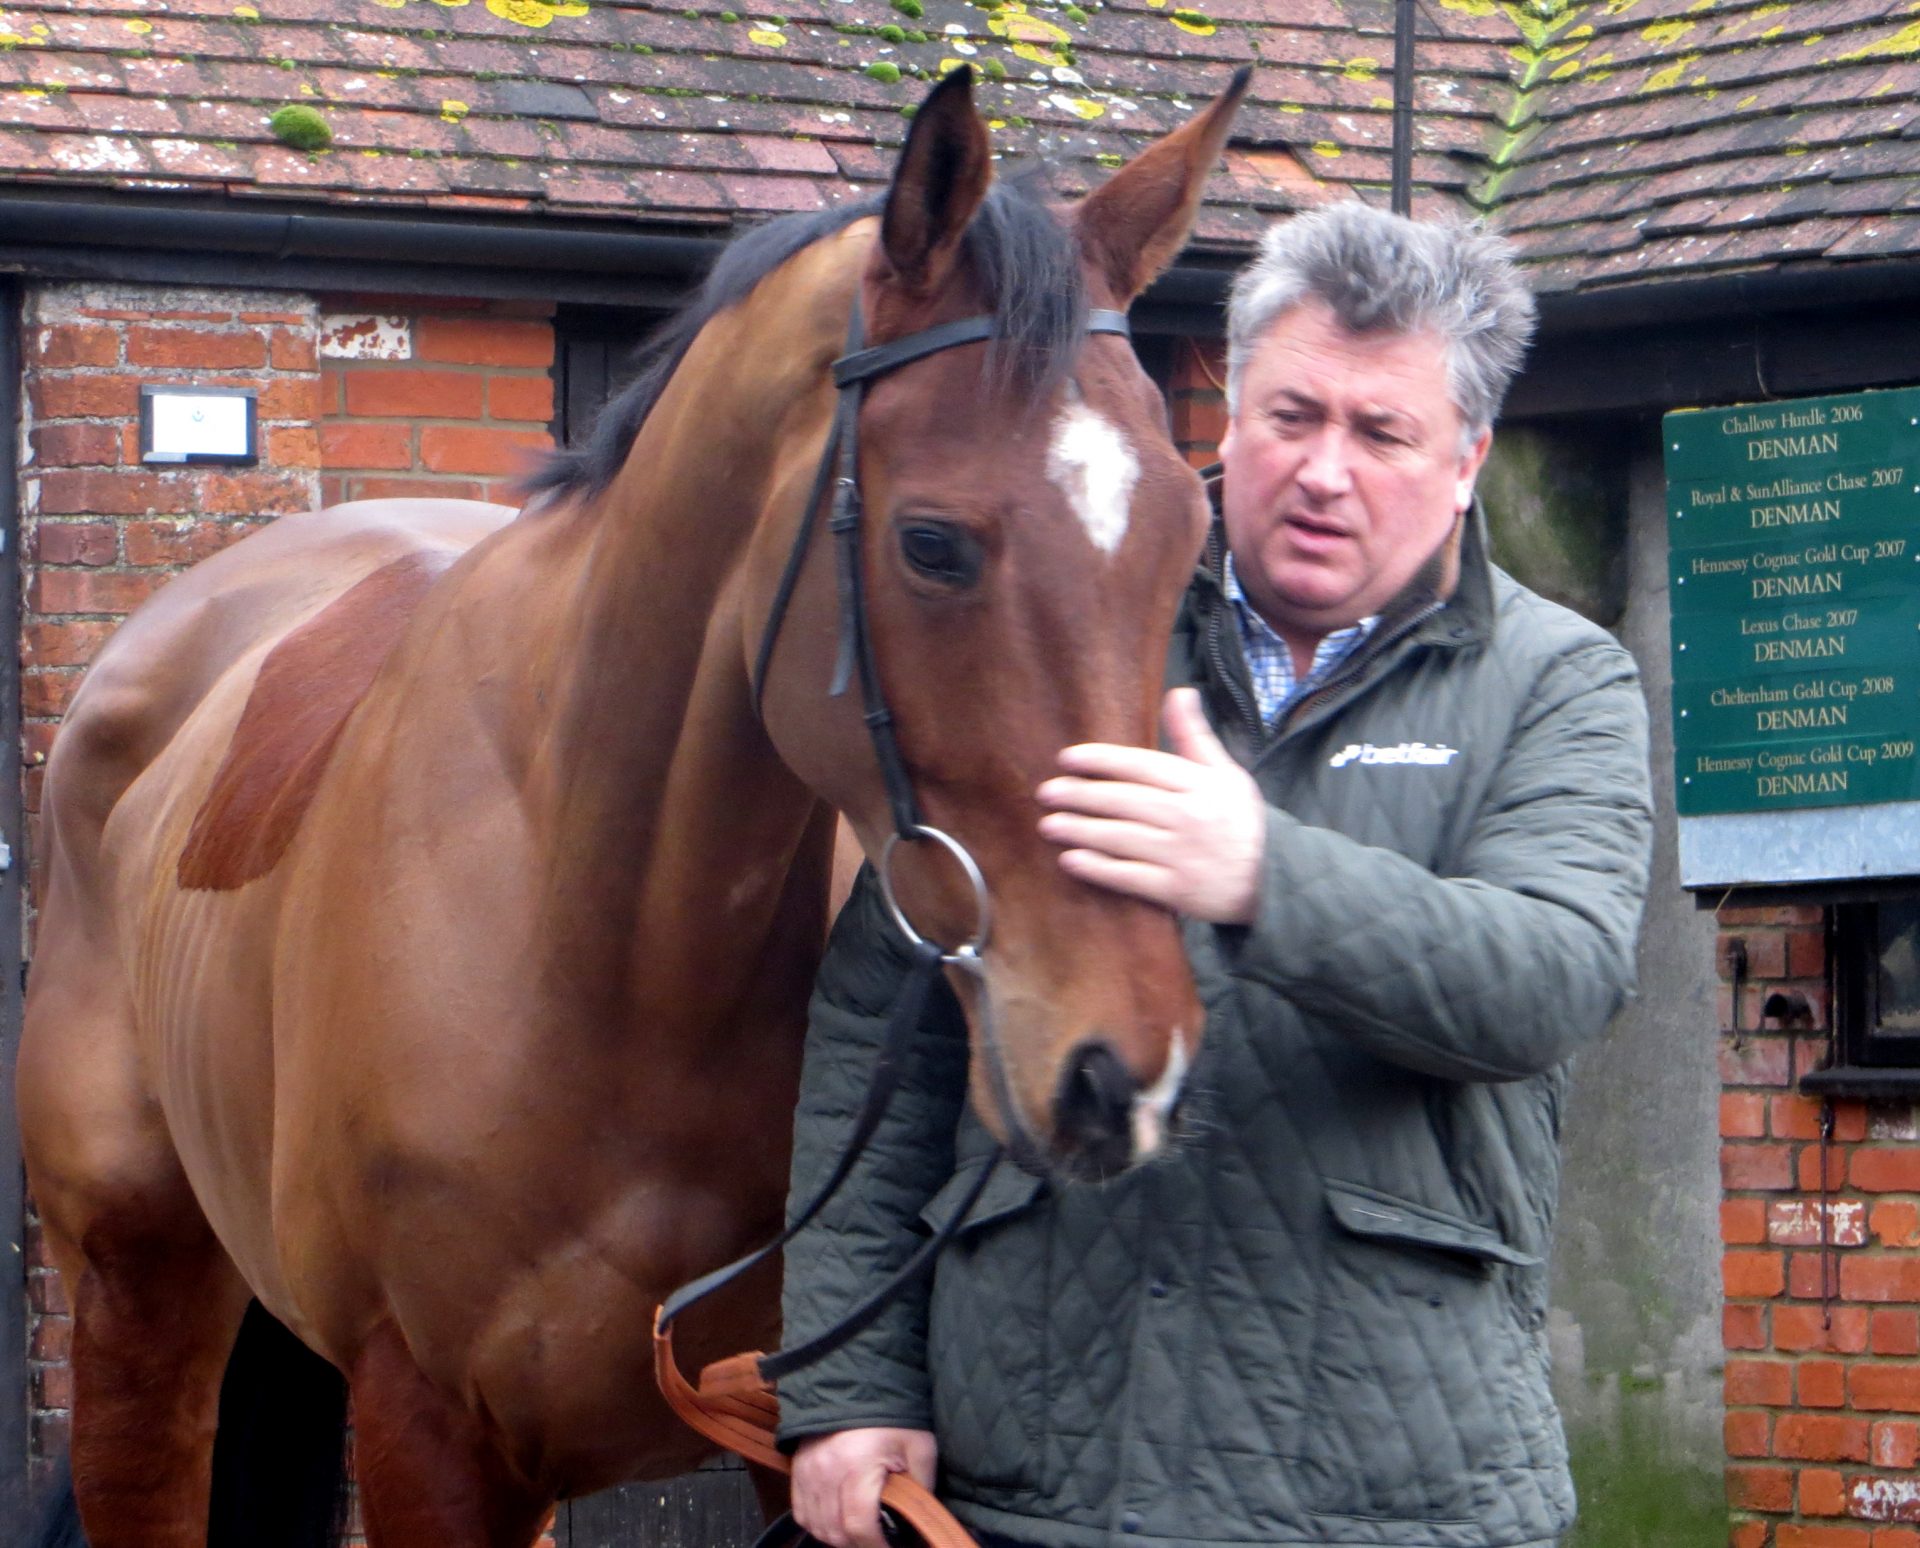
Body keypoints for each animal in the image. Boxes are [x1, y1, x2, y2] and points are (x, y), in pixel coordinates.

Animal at [16, 66, 1248, 1548]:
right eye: (931, 545)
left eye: (1189, 536)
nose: (1129, 1070)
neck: (598, 938)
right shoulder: (427, 1430)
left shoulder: (805, 1438)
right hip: (137, 1297)